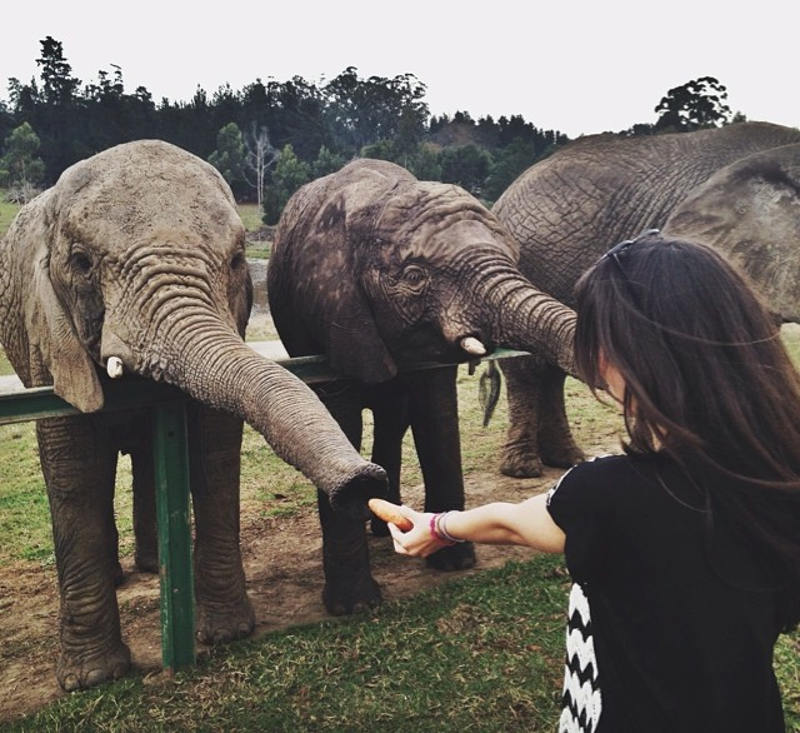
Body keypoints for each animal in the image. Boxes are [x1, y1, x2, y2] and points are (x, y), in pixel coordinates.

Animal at [0, 140, 387, 691]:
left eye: (237, 260)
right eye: (81, 262)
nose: (364, 482)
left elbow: (215, 450)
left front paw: (228, 634)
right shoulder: (46, 336)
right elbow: (73, 469)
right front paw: (91, 679)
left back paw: (154, 565)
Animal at [267, 158, 576, 615]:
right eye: (414, 277)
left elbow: (436, 416)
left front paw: (454, 562)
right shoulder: (327, 311)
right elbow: (341, 421)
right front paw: (355, 608)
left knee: (393, 419)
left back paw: (382, 526)